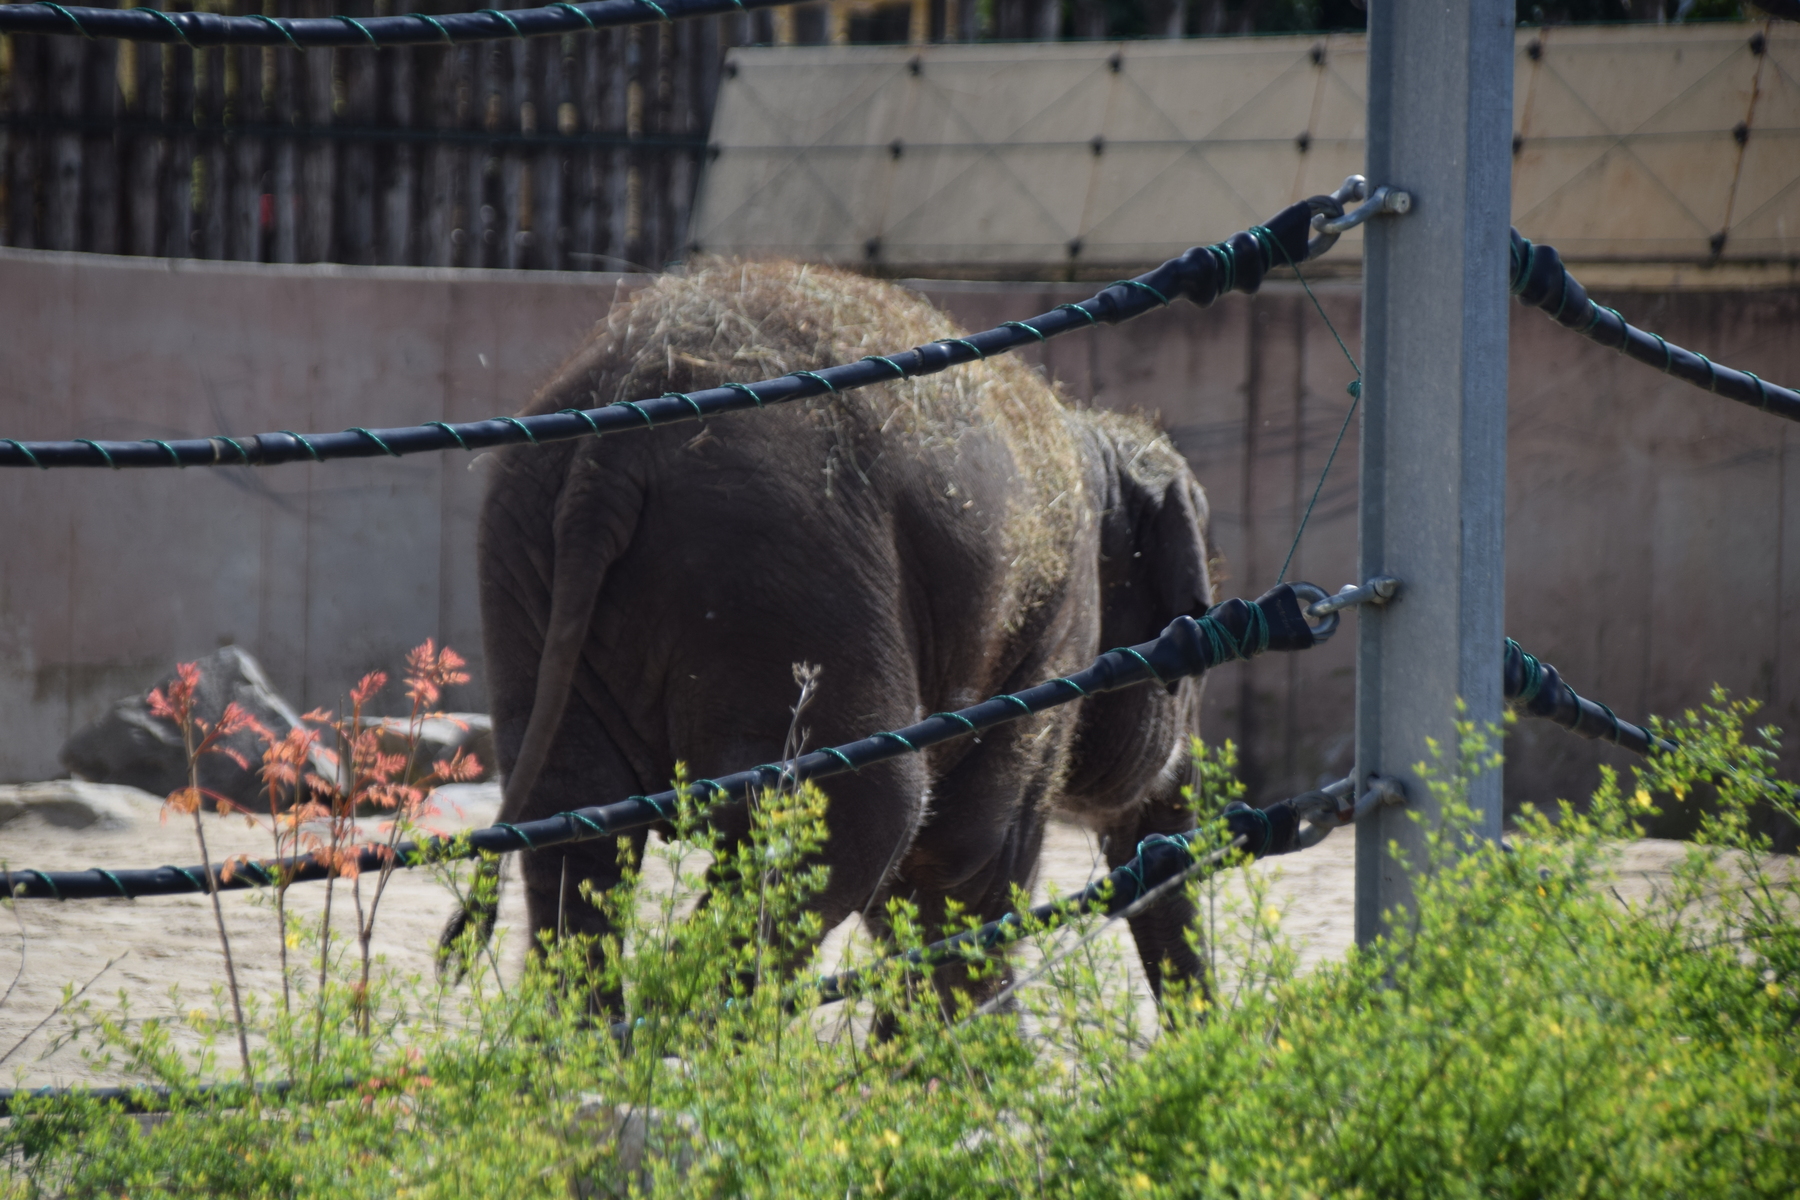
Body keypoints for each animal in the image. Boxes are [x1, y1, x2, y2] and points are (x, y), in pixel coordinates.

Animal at [455, 259, 1227, 1006]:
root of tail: (610, 456)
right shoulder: (1054, 638)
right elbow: (965, 871)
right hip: (781, 576)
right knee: (861, 813)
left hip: (528, 558)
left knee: (573, 827)